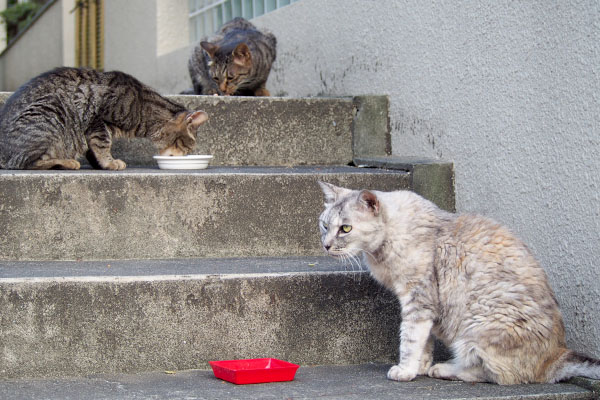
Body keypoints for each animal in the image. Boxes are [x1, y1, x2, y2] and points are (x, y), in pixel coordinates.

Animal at [0, 67, 209, 170]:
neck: (143, 106)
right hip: (50, 110)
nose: (187, 154)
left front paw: (99, 164)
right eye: (188, 147)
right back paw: (67, 162)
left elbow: (92, 150)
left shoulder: (93, 129)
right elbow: (103, 144)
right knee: (24, 163)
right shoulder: (97, 120)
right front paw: (110, 162)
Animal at [318, 183, 600, 386]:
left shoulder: (418, 299)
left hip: (477, 326)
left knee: (497, 375)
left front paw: (406, 370)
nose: (326, 245)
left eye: (345, 228)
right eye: (324, 225)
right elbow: (425, 341)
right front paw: (419, 366)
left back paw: (445, 369)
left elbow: (410, 339)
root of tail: (555, 355)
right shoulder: (424, 306)